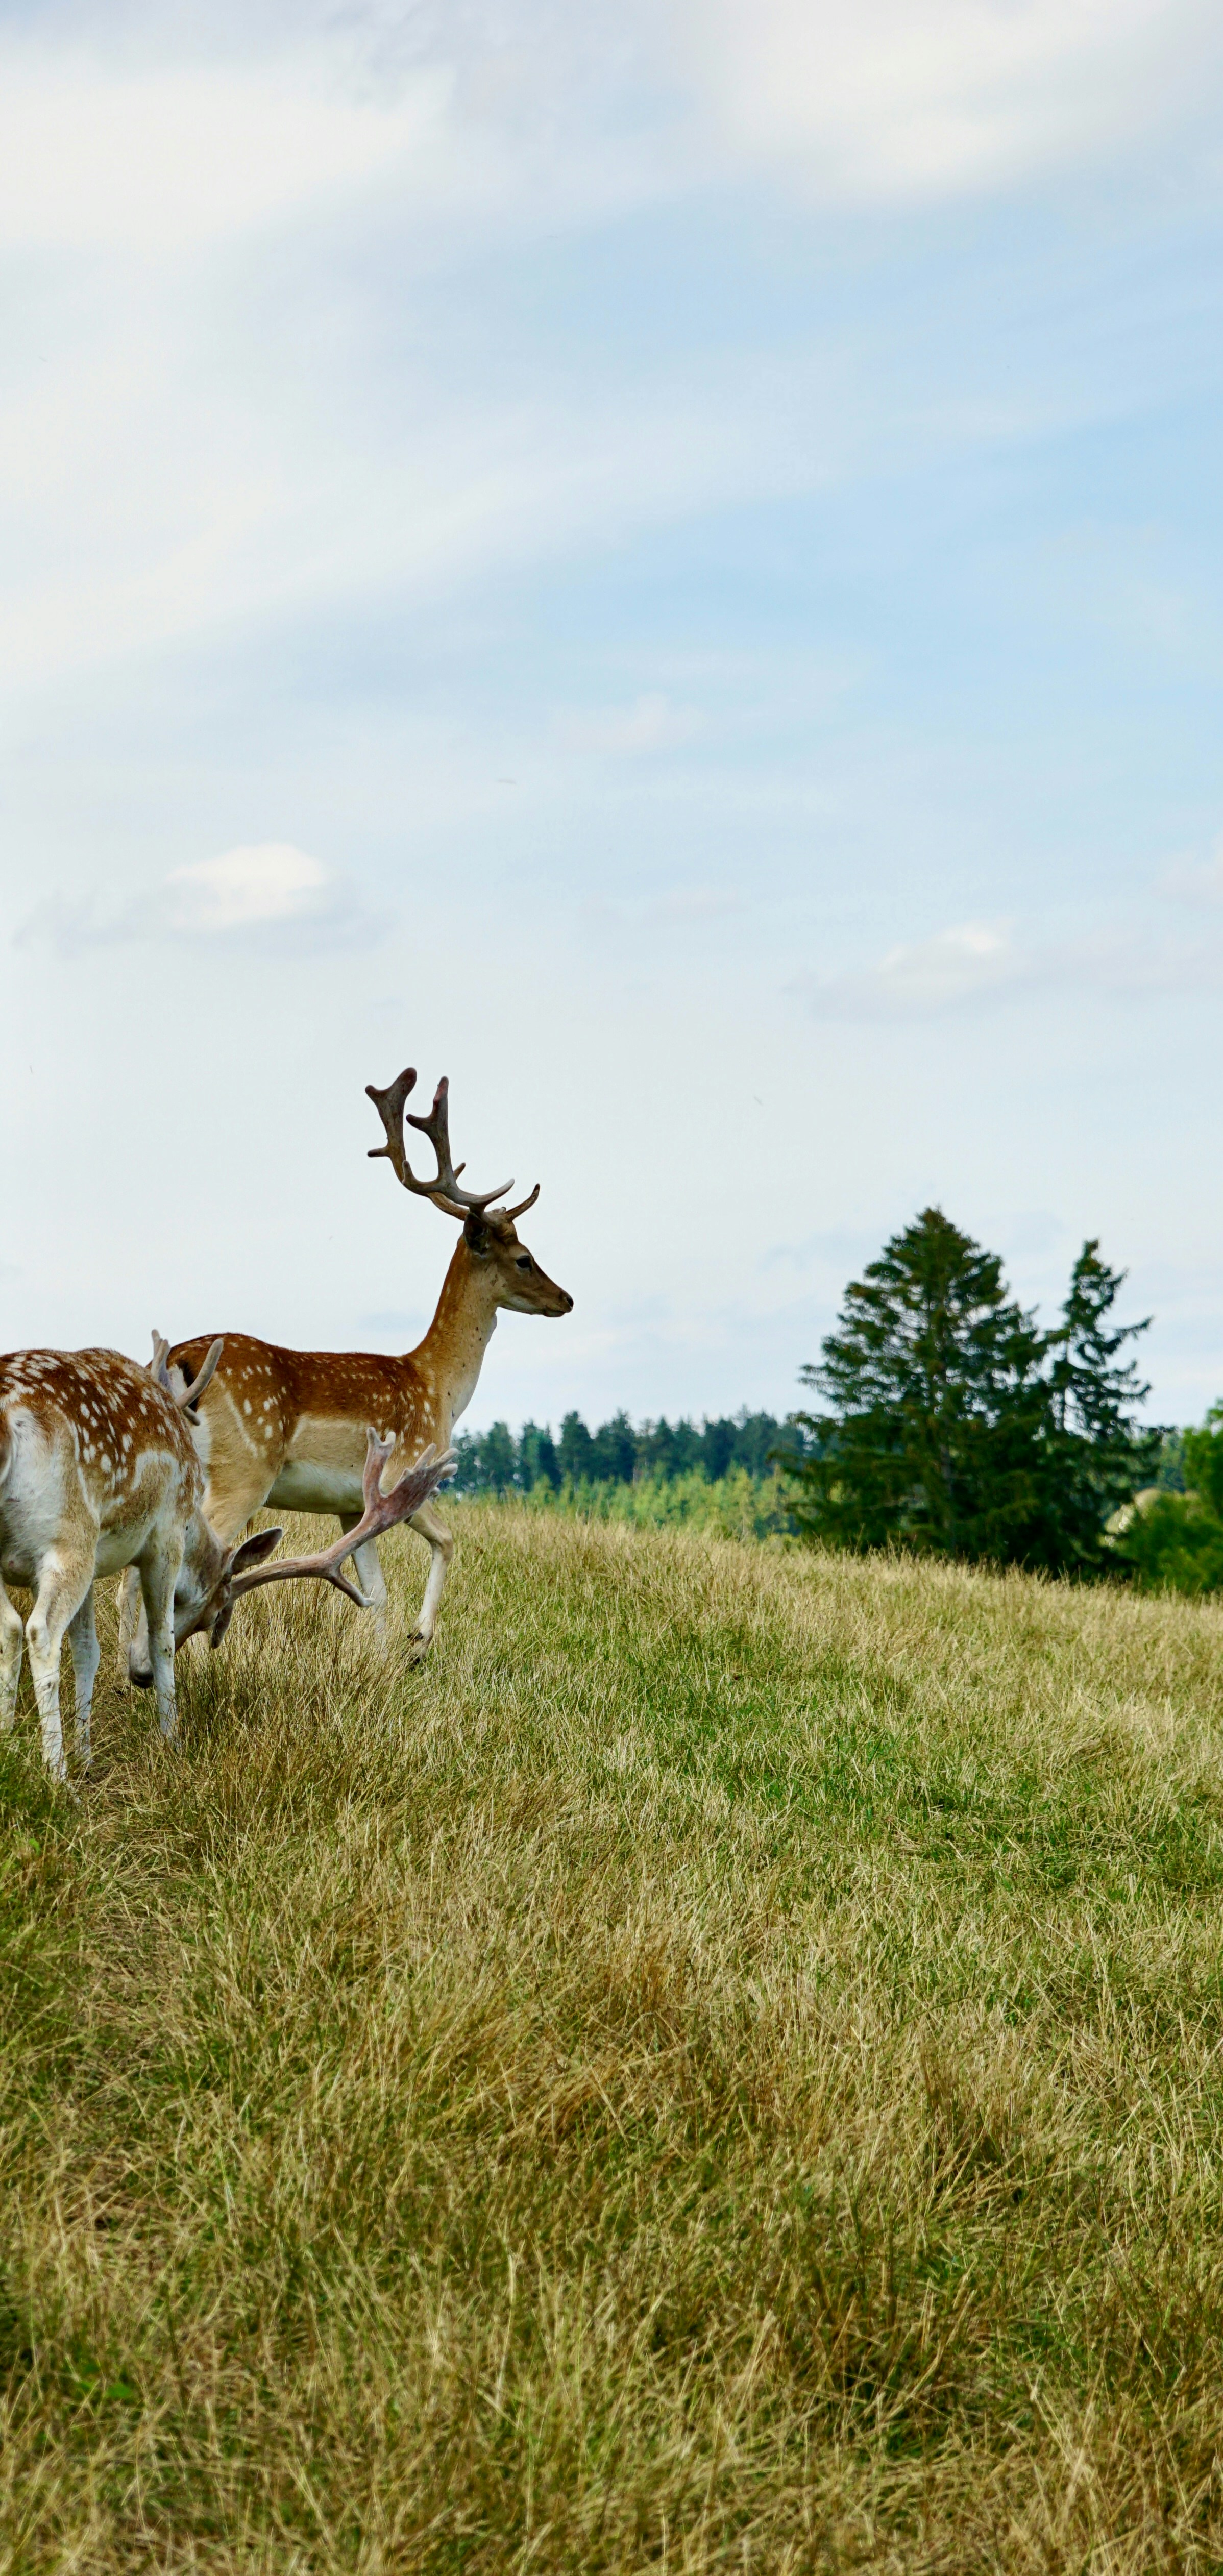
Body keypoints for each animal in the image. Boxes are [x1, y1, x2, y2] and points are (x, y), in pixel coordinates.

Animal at [0, 1335, 455, 1781]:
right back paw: (57, 1778)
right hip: (70, 1537)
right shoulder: (165, 1536)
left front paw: (88, 1755)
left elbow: (87, 1650)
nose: (140, 1677)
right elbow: (161, 1640)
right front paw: (171, 1743)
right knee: (40, 1630)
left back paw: (10, 1748)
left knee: (11, 1627)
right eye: (214, 1614)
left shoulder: (102, 1562)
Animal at [153, 1070, 572, 1663]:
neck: (440, 1388)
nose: (566, 1299)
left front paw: (381, 1661)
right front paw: (418, 1642)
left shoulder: (353, 1505)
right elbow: (447, 1541)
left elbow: (374, 1591)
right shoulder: (409, 1471)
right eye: (525, 1259)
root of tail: (178, 1358)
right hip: (242, 1470)